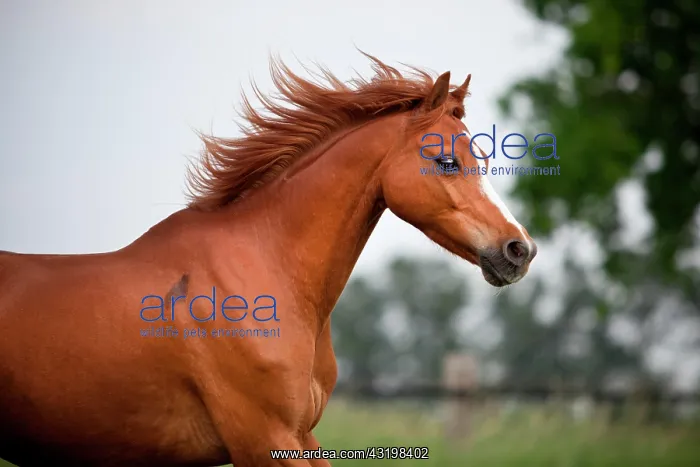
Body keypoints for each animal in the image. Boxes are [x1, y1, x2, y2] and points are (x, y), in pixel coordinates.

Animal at [0, 53, 537, 467]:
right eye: (446, 161)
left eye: (484, 159)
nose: (520, 250)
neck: (265, 271)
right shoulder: (264, 439)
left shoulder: (302, 436)